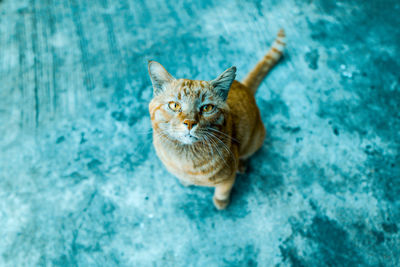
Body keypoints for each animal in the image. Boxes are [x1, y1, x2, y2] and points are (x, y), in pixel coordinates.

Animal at [148, 28, 286, 209]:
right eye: (175, 105)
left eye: (207, 108)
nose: (190, 122)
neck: (186, 160)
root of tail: (243, 86)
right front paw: (185, 181)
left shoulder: (228, 177)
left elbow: (223, 190)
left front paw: (221, 202)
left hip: (256, 139)